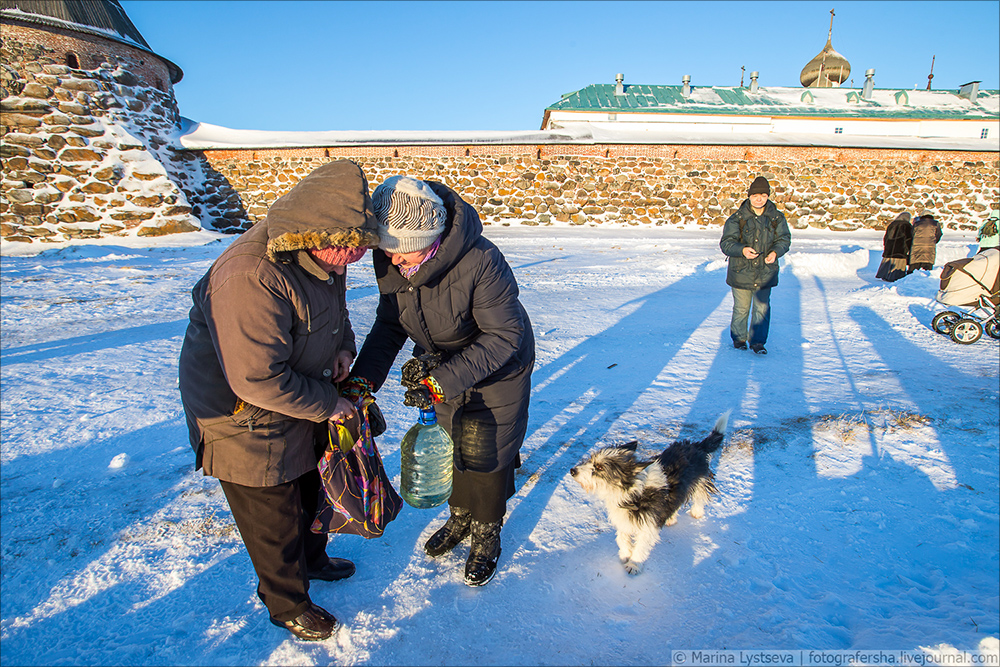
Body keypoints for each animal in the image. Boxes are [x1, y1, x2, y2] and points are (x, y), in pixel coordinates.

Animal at [572, 412, 728, 576]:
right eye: (591, 460)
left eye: (600, 467)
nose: (572, 471)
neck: (633, 494)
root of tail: (695, 445)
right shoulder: (623, 519)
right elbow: (622, 538)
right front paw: (625, 554)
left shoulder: (648, 525)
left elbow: (641, 546)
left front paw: (634, 564)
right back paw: (671, 518)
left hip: (700, 480)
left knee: (699, 496)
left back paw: (697, 512)